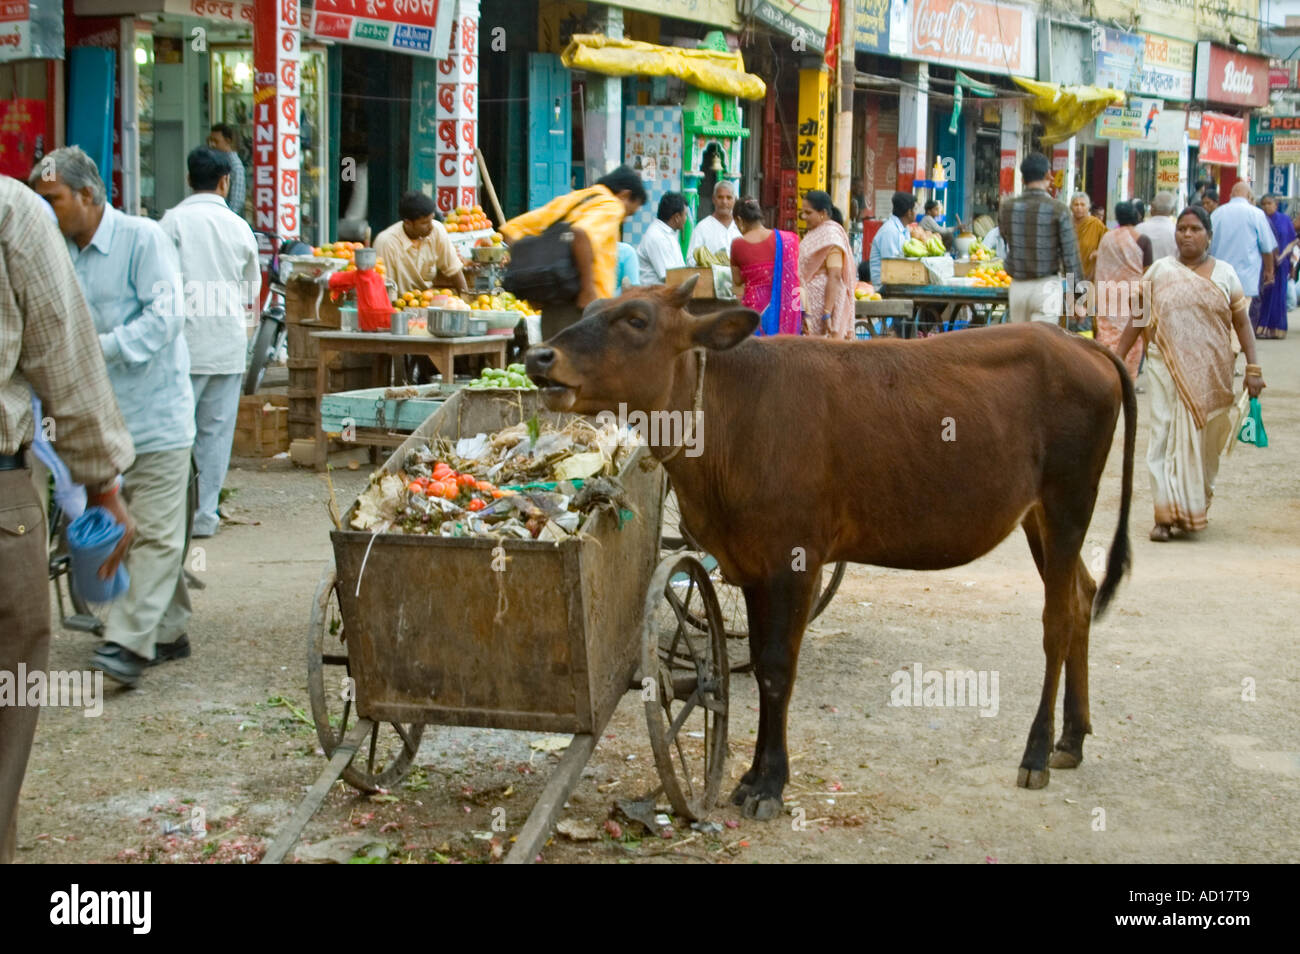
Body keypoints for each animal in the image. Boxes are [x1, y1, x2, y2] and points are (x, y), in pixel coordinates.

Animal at [522, 276, 1133, 821]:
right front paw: (752, 776)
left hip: (1068, 499)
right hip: (1038, 517)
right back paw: (1073, 739)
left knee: (1058, 619)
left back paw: (1037, 751)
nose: (538, 356)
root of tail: (1083, 344)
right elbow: (762, 663)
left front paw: (770, 784)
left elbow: (777, 668)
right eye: (591, 307)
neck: (726, 425)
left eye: (637, 320)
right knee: (1082, 595)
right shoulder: (750, 563)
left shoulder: (796, 558)